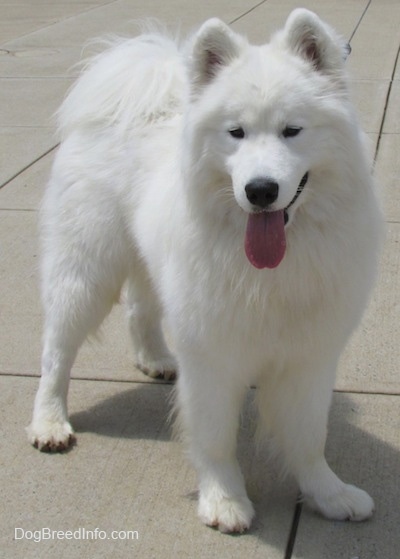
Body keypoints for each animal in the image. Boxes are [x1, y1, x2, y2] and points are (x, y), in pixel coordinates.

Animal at [28, 8, 384, 532]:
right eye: (236, 133)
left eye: (292, 130)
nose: (260, 189)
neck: (272, 268)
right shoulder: (212, 356)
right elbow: (216, 439)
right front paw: (224, 500)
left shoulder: (309, 356)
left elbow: (308, 438)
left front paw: (329, 494)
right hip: (85, 273)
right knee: (56, 353)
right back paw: (50, 422)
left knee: (139, 308)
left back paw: (155, 358)